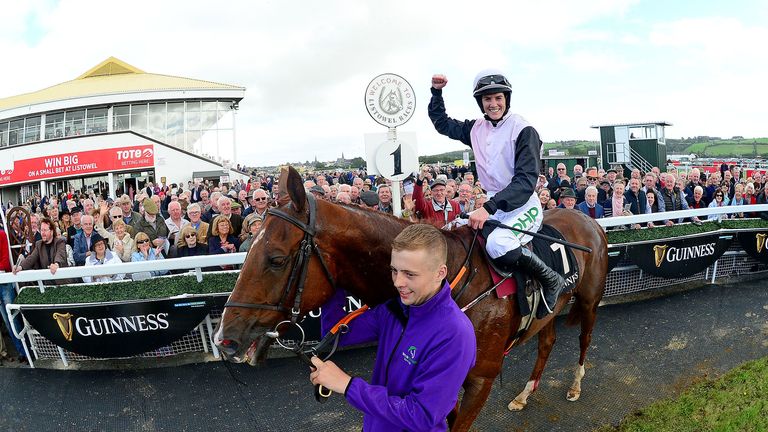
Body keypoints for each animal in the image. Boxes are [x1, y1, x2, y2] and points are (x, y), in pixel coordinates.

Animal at [214, 167, 608, 430]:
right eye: (247, 253)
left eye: (276, 259)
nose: (225, 339)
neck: (451, 282)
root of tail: (585, 218)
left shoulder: (480, 379)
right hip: (549, 313)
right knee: (547, 341)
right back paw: (525, 394)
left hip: (589, 301)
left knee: (585, 338)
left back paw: (575, 385)